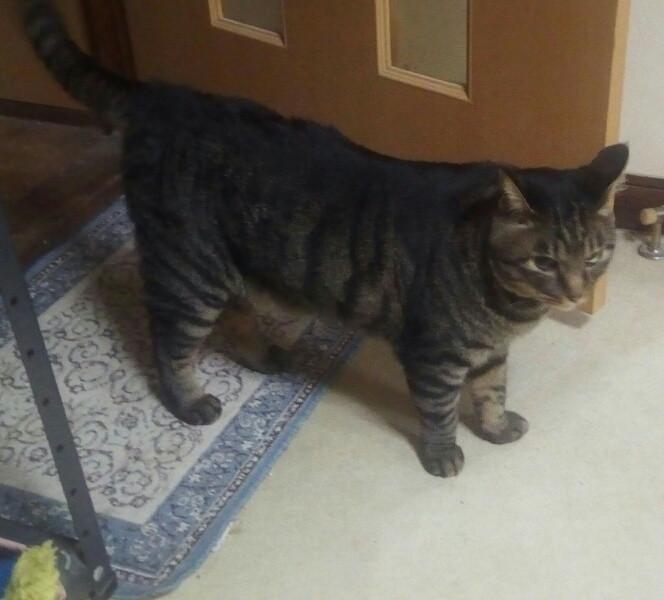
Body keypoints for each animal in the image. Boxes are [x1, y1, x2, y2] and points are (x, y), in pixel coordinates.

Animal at [22, 0, 627, 477]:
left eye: (596, 256)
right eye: (544, 262)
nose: (577, 292)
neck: (505, 304)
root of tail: (161, 95)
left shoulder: (489, 352)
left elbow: (493, 389)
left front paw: (496, 426)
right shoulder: (433, 354)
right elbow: (439, 410)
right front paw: (442, 453)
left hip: (232, 267)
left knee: (230, 321)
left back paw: (262, 353)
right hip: (189, 269)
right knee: (170, 342)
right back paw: (189, 401)